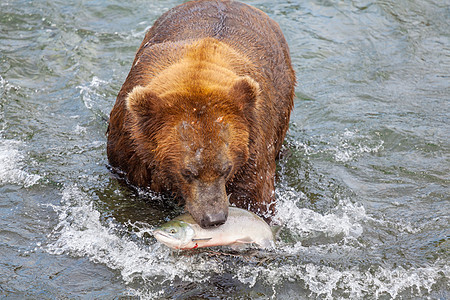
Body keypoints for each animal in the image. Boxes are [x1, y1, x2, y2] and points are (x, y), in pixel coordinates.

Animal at [105, 0, 296, 229]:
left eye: (226, 168)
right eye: (187, 172)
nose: (214, 217)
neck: (198, 67)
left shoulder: (252, 145)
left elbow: (254, 198)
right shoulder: (132, 155)